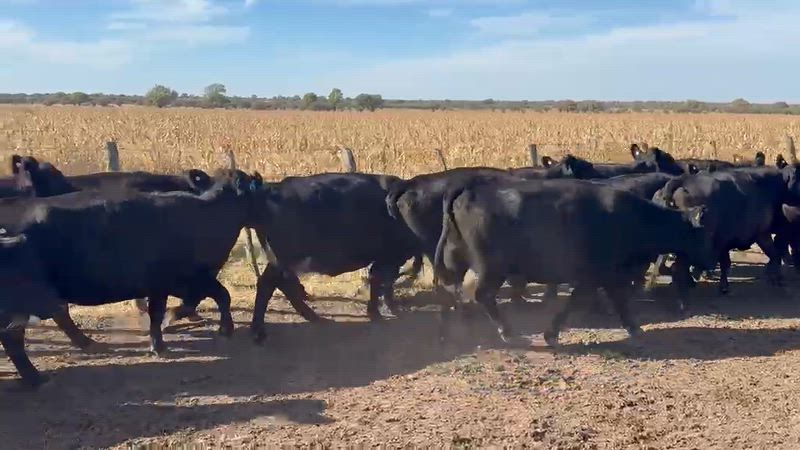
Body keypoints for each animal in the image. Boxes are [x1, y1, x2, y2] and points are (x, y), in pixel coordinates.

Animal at [0, 169, 260, 358]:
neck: (206, 217)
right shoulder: (173, 281)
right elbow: (172, 309)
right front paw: (162, 341)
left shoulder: (189, 280)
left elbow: (213, 297)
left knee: (59, 314)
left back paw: (86, 343)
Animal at [433, 177, 715, 346]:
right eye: (705, 234)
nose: (711, 263)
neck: (635, 219)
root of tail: (470, 188)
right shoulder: (600, 275)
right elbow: (593, 300)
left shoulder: (601, 277)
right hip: (492, 268)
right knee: (482, 294)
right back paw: (508, 333)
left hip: (455, 257)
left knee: (452, 289)